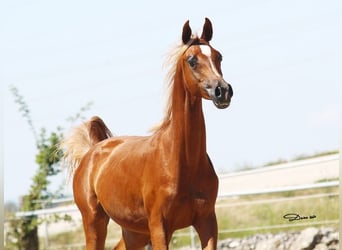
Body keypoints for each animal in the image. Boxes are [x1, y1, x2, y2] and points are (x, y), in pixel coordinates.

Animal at [61, 18, 232, 250]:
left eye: (218, 56)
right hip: (95, 222)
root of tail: (92, 151)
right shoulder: (159, 226)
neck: (180, 161)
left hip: (134, 231)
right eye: (192, 60)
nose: (223, 91)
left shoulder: (207, 222)